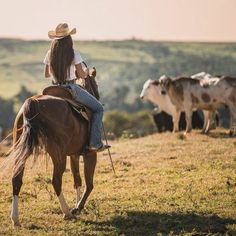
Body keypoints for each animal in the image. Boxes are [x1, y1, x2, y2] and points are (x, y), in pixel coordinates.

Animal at [9, 67, 100, 226]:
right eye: (96, 85)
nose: (98, 96)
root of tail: (33, 102)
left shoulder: (74, 154)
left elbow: (77, 180)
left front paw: (77, 204)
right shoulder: (90, 154)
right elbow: (89, 184)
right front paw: (78, 207)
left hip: (21, 150)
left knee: (16, 179)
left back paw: (15, 219)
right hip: (58, 155)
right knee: (56, 181)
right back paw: (67, 212)